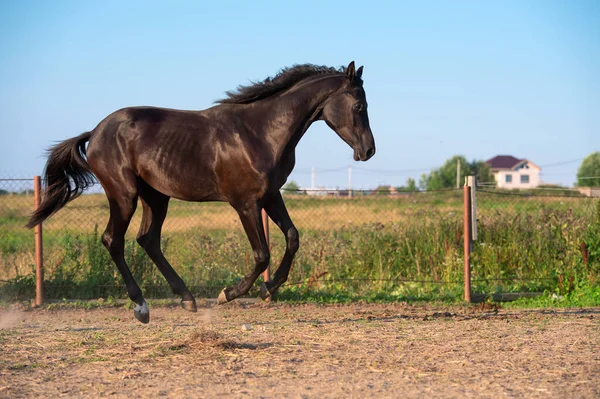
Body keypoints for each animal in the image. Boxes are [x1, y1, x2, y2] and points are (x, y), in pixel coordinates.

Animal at [28, 62, 378, 324]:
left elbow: (292, 237)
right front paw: (229, 294)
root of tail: (95, 132)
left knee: (147, 240)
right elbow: (261, 253)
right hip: (124, 196)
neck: (261, 132)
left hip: (156, 197)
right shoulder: (245, 203)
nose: (369, 151)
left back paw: (187, 299)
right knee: (113, 240)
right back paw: (142, 307)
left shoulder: (270, 195)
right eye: (359, 104)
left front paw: (268, 289)